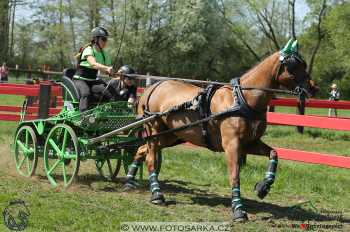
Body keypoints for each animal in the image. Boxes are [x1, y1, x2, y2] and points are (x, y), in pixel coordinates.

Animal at [123, 40, 318, 221]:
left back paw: (129, 181)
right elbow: (234, 175)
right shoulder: (232, 144)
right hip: (154, 131)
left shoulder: (250, 143)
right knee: (150, 159)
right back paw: (157, 194)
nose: (313, 88)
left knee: (141, 150)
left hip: (170, 136)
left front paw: (263, 187)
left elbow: (274, 154)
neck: (243, 98)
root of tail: (151, 88)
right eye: (294, 66)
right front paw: (238, 210)